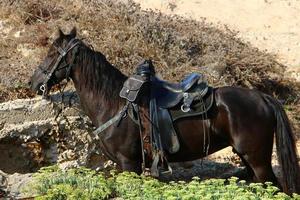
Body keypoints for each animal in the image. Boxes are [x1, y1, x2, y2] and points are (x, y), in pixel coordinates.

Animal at [28, 28, 300, 195]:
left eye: (52, 53)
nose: (33, 82)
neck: (114, 104)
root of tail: (263, 97)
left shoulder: (129, 164)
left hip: (258, 159)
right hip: (247, 158)